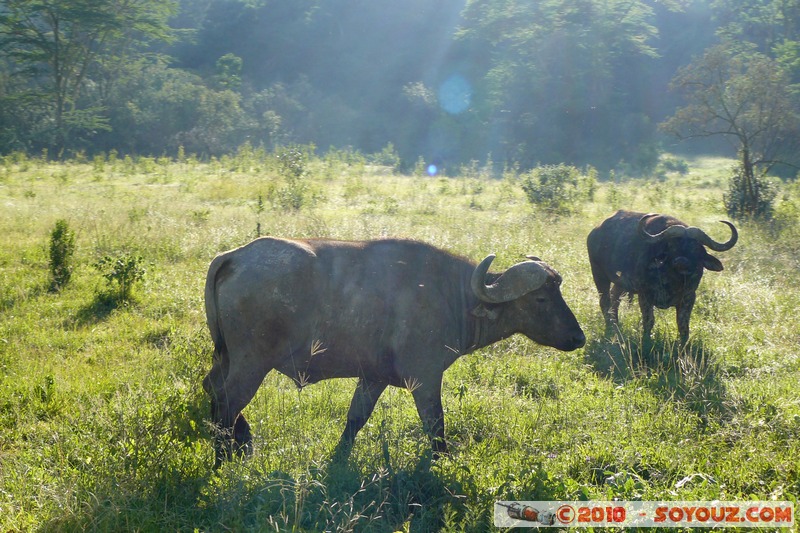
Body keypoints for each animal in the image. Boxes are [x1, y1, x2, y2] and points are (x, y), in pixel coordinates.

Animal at [584, 210, 740, 342]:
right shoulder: (645, 295)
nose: (681, 262)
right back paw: (610, 327)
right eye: (671, 245)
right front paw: (646, 340)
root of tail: (595, 231)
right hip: (598, 273)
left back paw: (615, 324)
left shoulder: (689, 297)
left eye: (695, 248)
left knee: (615, 299)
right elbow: (649, 321)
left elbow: (683, 325)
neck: (672, 280)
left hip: (620, 283)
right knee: (605, 301)